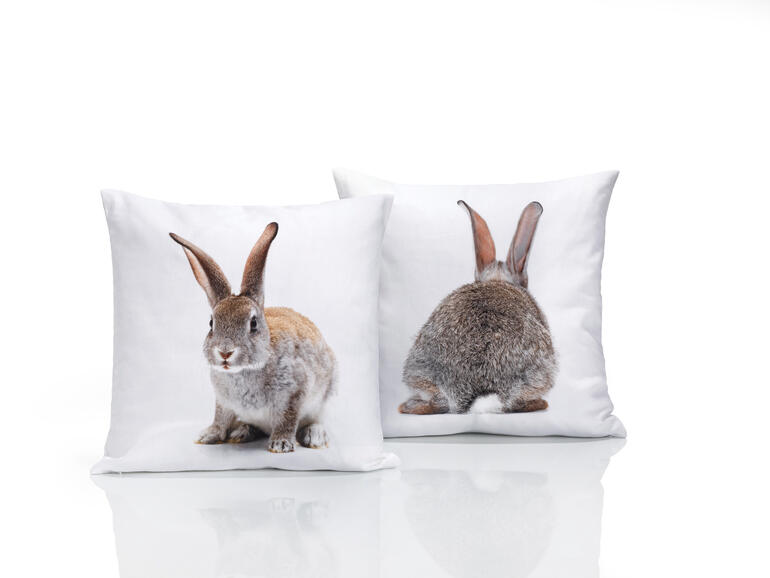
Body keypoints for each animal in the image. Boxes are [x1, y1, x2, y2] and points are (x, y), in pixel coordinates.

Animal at [170, 222, 336, 453]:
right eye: (211, 324)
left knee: (317, 420)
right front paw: (208, 435)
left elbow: (288, 419)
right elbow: (220, 418)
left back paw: (314, 436)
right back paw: (242, 432)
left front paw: (280, 444)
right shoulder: (223, 402)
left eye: (253, 324)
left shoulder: (295, 393)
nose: (225, 352)